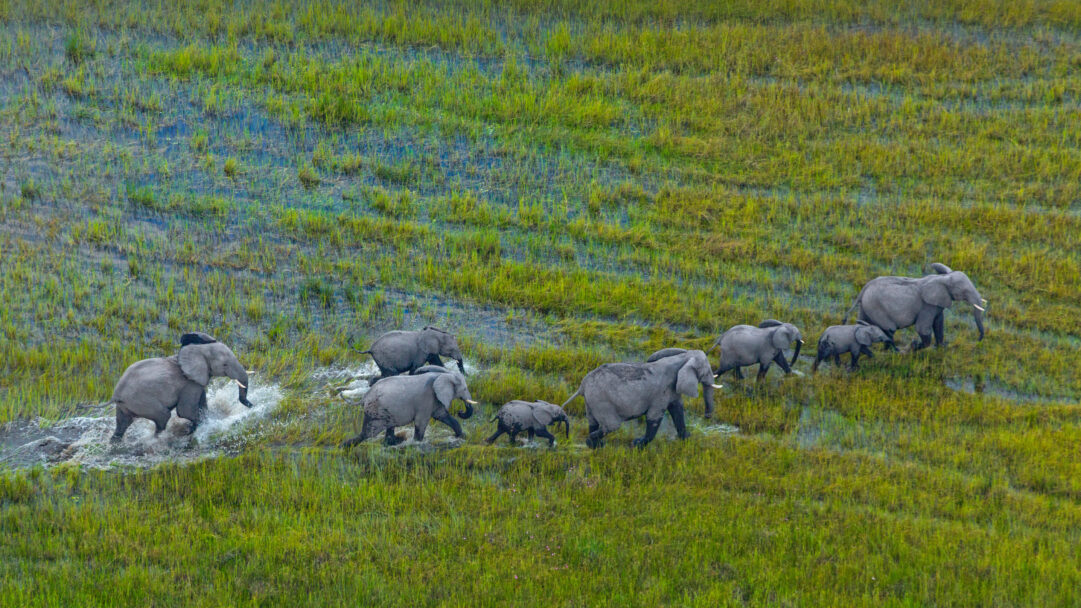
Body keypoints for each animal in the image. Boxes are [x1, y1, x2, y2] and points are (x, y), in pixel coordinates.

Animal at [110, 332, 252, 442]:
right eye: (225, 364)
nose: (251, 405)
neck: (198, 350)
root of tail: (115, 394)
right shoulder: (189, 384)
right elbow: (185, 411)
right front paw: (197, 428)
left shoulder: (197, 381)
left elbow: (202, 404)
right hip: (141, 401)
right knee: (163, 416)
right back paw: (157, 440)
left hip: (126, 405)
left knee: (122, 424)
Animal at [341, 366, 477, 447]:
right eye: (465, 389)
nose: (460, 411)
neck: (441, 375)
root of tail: (364, 397)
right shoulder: (426, 400)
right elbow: (421, 422)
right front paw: (416, 443)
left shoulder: (435, 400)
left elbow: (442, 415)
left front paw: (462, 437)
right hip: (376, 411)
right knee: (368, 433)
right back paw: (344, 446)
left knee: (386, 428)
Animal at [561, 349, 721, 449]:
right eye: (706, 371)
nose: (707, 417)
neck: (683, 357)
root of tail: (582, 386)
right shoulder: (661, 392)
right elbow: (654, 418)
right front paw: (637, 444)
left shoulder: (672, 389)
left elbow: (677, 410)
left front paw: (686, 439)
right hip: (601, 401)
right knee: (612, 426)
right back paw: (592, 442)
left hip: (591, 401)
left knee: (593, 422)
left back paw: (595, 446)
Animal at [843, 263, 986, 351]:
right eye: (964, 291)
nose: (977, 341)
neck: (943, 278)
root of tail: (864, 288)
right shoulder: (927, 306)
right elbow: (923, 329)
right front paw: (914, 347)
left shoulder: (936, 305)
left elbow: (939, 323)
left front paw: (941, 348)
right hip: (876, 307)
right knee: (889, 329)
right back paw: (894, 352)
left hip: (866, 305)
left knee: (863, 322)